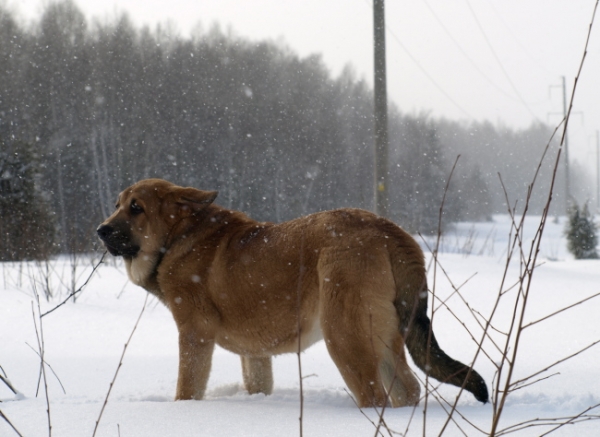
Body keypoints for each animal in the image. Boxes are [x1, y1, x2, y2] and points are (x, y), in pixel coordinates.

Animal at [95, 177, 488, 406]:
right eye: (116, 205)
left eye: (136, 208)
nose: (100, 230)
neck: (178, 235)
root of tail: (389, 230)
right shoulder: (254, 354)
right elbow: (257, 383)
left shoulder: (194, 334)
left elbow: (187, 389)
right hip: (383, 337)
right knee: (408, 389)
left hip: (345, 337)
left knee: (375, 395)